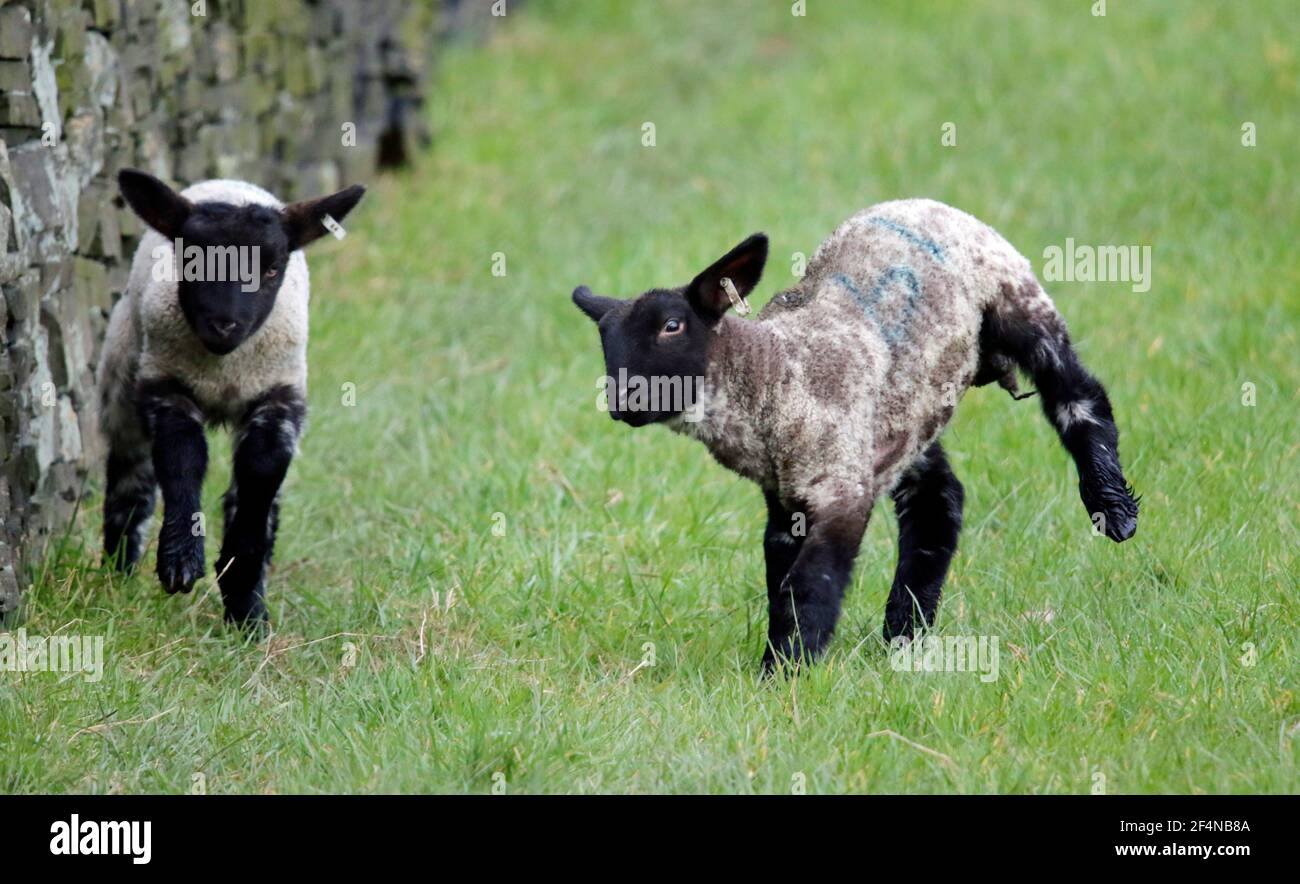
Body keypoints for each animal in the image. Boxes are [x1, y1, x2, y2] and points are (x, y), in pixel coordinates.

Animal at [96, 165, 366, 621]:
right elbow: (183, 460)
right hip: (122, 381)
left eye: (272, 269)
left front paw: (242, 587)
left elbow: (259, 478)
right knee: (129, 488)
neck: (225, 370)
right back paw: (117, 575)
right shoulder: (167, 386)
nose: (225, 325)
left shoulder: (278, 399)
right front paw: (181, 561)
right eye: (191, 260)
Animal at [569, 198, 1138, 670]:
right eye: (604, 340)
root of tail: (926, 202)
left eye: (672, 325)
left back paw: (1111, 507)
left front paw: (786, 671)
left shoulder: (838, 484)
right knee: (939, 501)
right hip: (903, 415)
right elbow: (779, 576)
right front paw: (786, 656)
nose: (623, 403)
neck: (771, 370)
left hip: (1020, 301)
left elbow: (810, 582)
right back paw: (905, 633)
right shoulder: (787, 496)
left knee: (1079, 397)